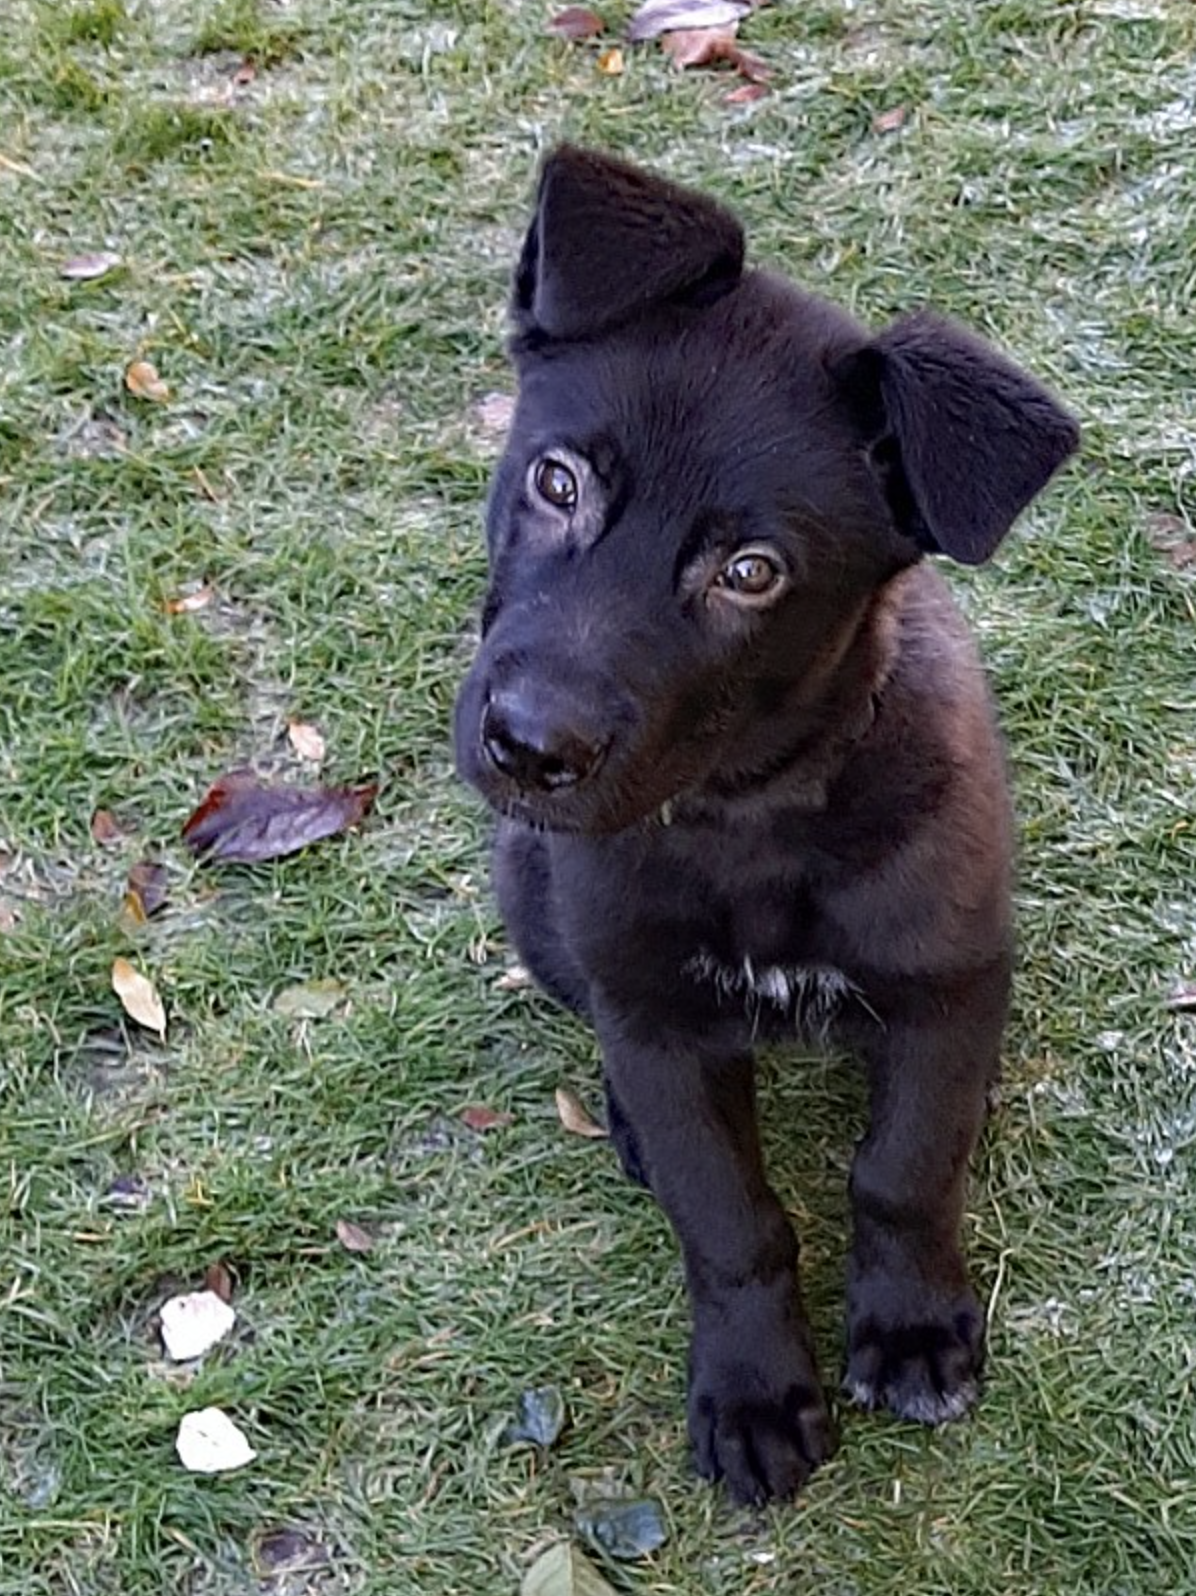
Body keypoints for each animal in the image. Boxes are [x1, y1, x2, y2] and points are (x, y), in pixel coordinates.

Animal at [453, 143, 1079, 1500]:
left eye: (751, 573)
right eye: (555, 480)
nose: (527, 746)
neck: (750, 815)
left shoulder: (944, 981)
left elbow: (902, 1170)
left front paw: (909, 1327)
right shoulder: (653, 1013)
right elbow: (730, 1223)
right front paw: (752, 1390)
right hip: (528, 889)